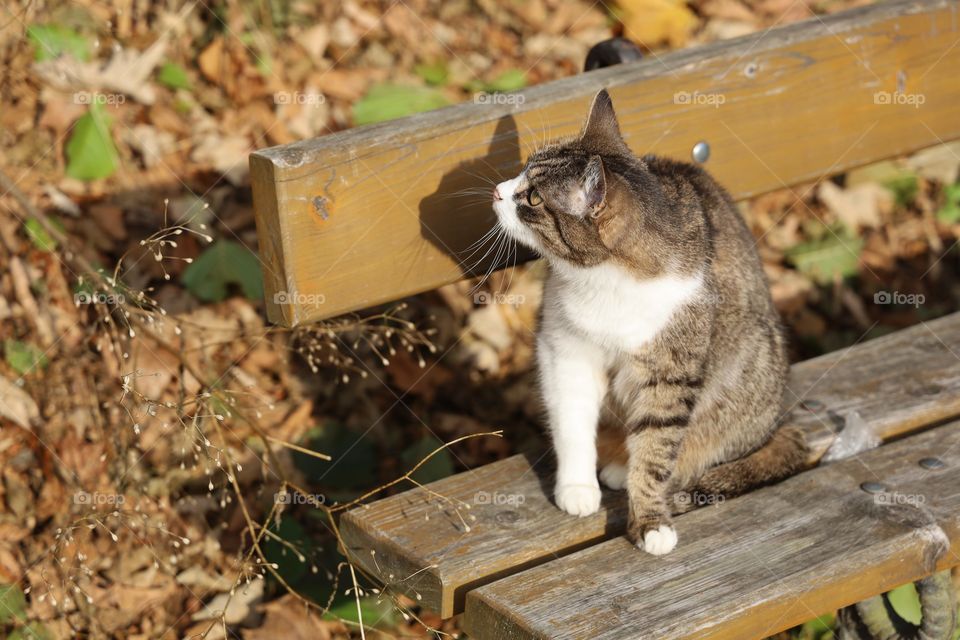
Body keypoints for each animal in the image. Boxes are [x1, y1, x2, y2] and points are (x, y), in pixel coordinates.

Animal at [492, 89, 808, 556]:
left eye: (532, 198)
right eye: (521, 172)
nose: (496, 191)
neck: (606, 279)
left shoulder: (671, 371)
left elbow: (658, 448)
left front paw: (650, 520)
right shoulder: (565, 349)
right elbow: (571, 420)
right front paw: (577, 488)